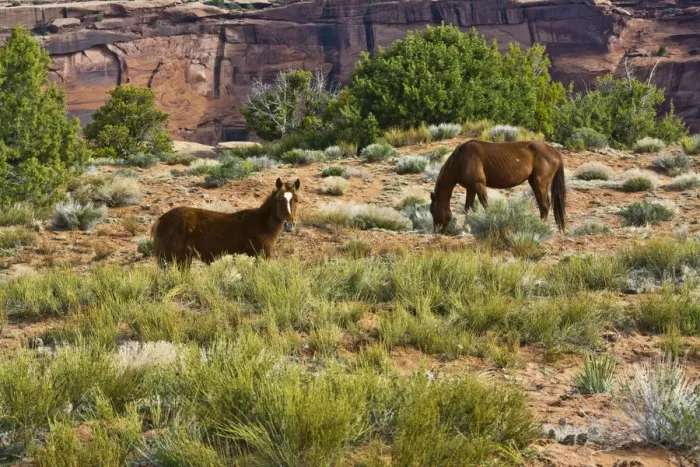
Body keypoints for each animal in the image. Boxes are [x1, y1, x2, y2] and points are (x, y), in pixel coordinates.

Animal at [152, 178, 300, 268]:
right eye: (280, 199)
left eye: (296, 200)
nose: (289, 224)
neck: (262, 223)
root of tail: (161, 219)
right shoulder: (261, 257)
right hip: (172, 258)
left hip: (183, 259)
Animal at [430, 140, 566, 233]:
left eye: (433, 211)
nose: (437, 231)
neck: (461, 160)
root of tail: (555, 152)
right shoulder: (471, 188)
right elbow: (468, 208)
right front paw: (467, 227)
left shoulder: (479, 185)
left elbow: (486, 206)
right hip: (534, 183)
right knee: (542, 206)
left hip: (540, 183)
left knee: (545, 206)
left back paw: (541, 227)